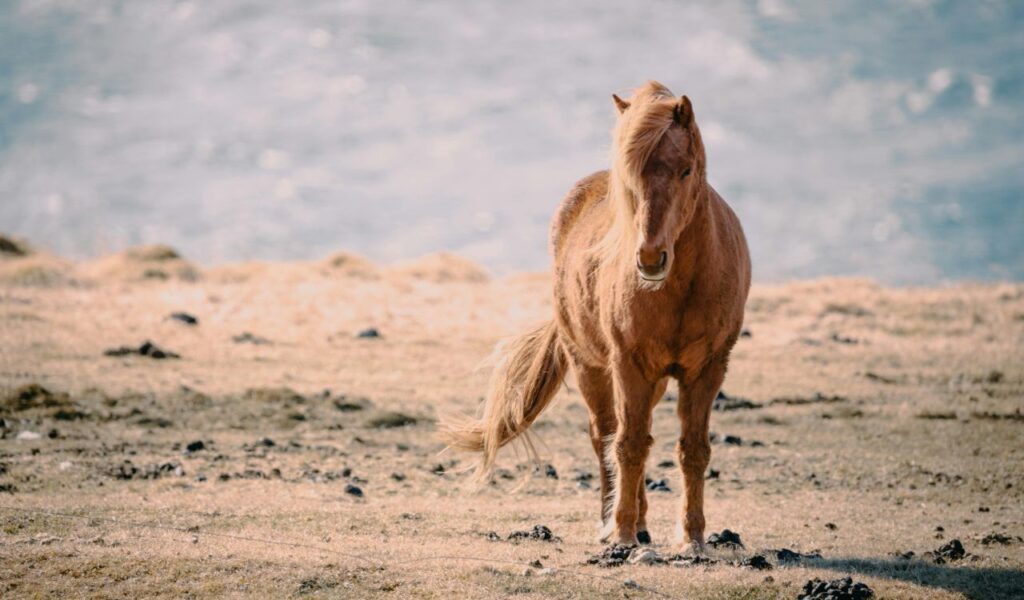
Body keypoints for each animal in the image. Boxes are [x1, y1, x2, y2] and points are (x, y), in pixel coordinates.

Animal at [441, 81, 751, 549]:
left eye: (686, 170)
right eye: (630, 176)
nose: (650, 258)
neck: (679, 290)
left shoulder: (709, 368)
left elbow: (692, 449)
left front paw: (693, 538)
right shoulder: (628, 364)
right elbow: (627, 445)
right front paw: (620, 532)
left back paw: (642, 525)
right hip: (592, 366)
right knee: (606, 435)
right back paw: (618, 525)